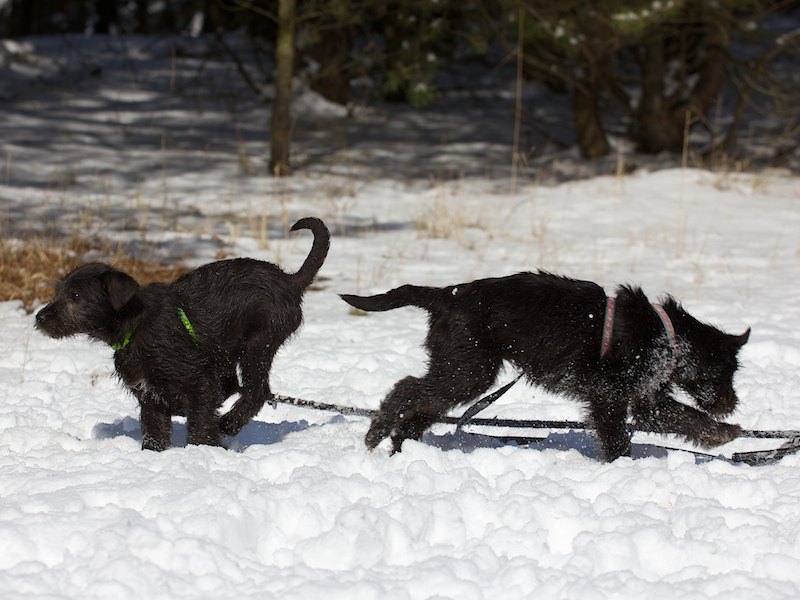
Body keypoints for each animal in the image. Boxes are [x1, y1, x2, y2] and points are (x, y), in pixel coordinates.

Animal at [35, 217, 329, 451]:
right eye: (59, 291)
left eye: (75, 296)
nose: (39, 318)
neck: (136, 325)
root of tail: (290, 282)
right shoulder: (150, 398)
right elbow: (155, 431)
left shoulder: (199, 383)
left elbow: (200, 423)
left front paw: (203, 450)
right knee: (239, 386)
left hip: (258, 345)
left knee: (257, 390)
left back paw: (230, 423)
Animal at [341, 272, 750, 461]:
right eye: (725, 372)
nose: (731, 404)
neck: (665, 336)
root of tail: (445, 295)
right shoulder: (609, 396)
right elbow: (620, 435)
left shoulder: (646, 399)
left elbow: (683, 417)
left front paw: (722, 432)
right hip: (469, 369)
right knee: (406, 389)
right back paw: (377, 433)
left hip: (461, 370)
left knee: (421, 404)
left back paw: (402, 445)